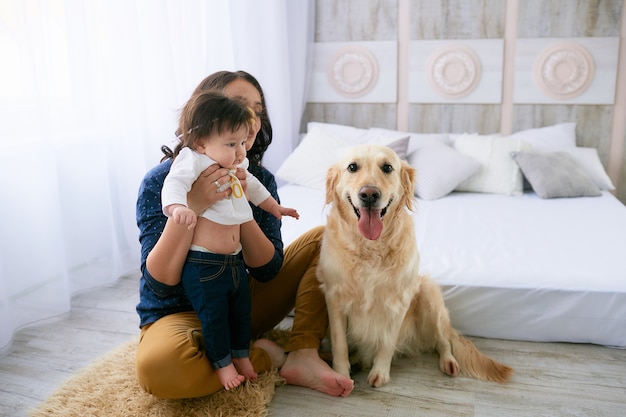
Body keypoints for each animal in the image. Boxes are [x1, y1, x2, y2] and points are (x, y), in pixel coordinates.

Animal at [316, 144, 512, 386]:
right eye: (352, 167)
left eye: (387, 167)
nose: (369, 194)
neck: (370, 248)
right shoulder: (334, 298)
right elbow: (339, 344)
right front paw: (341, 375)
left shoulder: (400, 300)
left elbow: (387, 342)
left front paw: (380, 372)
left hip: (429, 295)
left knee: (443, 340)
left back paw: (448, 362)